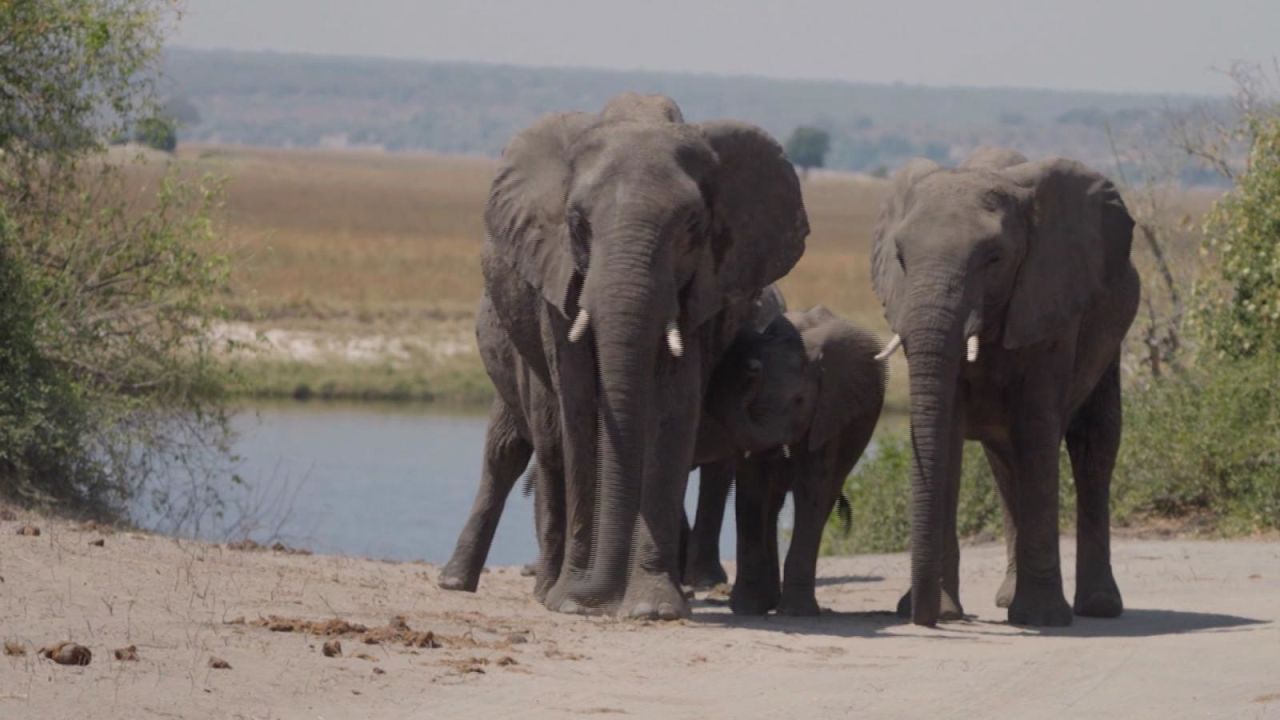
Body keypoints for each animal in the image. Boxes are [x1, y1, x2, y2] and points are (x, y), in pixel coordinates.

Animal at [465, 90, 803, 617]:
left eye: (692, 225)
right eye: (577, 223)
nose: (599, 598)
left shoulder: (705, 287)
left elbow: (674, 409)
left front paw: (652, 608)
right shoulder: (557, 279)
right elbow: (579, 404)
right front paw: (575, 602)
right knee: (534, 445)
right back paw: (523, 588)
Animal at [870, 148, 1141, 625]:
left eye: (994, 259)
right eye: (900, 258)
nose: (917, 616)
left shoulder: (1052, 300)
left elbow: (1037, 426)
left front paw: (1042, 618)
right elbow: (949, 434)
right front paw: (947, 611)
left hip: (1110, 336)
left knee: (1094, 445)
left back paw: (1098, 607)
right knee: (1005, 460)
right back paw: (1005, 600)